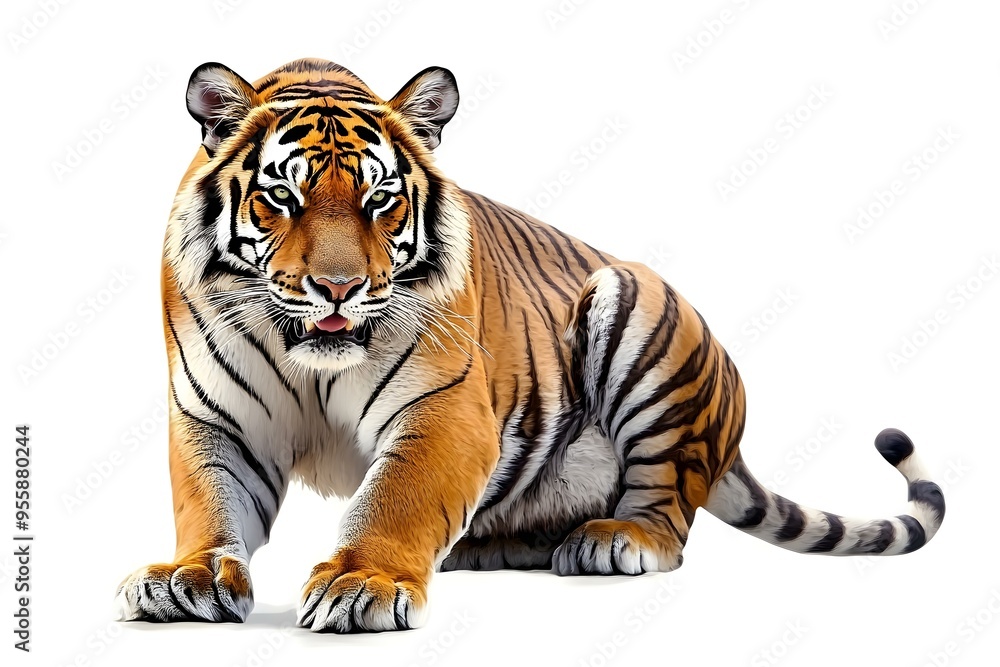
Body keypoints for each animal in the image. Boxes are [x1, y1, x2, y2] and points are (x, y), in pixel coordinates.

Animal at [115, 58, 946, 633]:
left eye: (380, 200)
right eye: (280, 197)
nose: (339, 287)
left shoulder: (444, 410)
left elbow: (393, 499)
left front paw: (363, 583)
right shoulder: (217, 418)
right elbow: (208, 501)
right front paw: (184, 577)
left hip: (635, 311)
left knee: (669, 505)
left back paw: (616, 539)